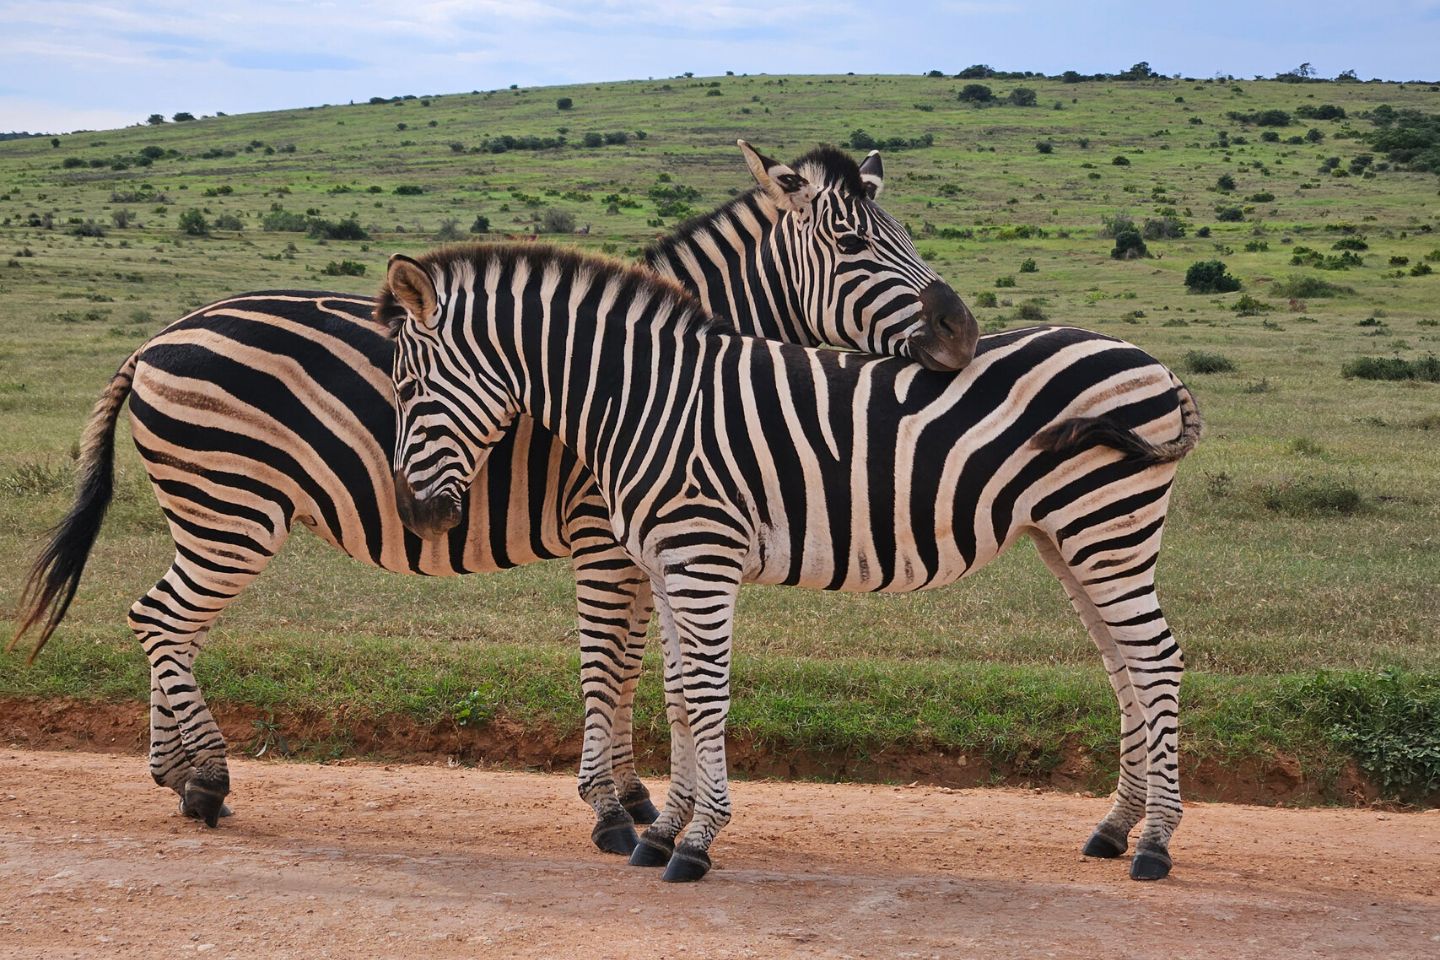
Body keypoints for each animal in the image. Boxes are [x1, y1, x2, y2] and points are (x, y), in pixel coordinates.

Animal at [5, 141, 973, 857]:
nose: (963, 333)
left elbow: (636, 666)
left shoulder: (642, 540)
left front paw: (634, 794)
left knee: (167, 622)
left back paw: (178, 775)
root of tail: (156, 337)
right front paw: (610, 810)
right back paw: (204, 778)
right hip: (232, 507)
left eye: (904, 231)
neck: (661, 374)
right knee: (162, 618)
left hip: (209, 514)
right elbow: (609, 663)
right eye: (853, 246)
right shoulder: (604, 534)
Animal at [383, 241, 1203, 886]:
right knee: (1123, 666)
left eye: (407, 388)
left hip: (1106, 525)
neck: (644, 402)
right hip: (1067, 538)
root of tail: (1154, 365)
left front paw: (699, 841)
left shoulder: (701, 555)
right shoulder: (665, 565)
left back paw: (1156, 843)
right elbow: (676, 697)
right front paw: (662, 832)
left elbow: (705, 698)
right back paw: (1114, 828)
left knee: (1155, 659)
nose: (417, 517)